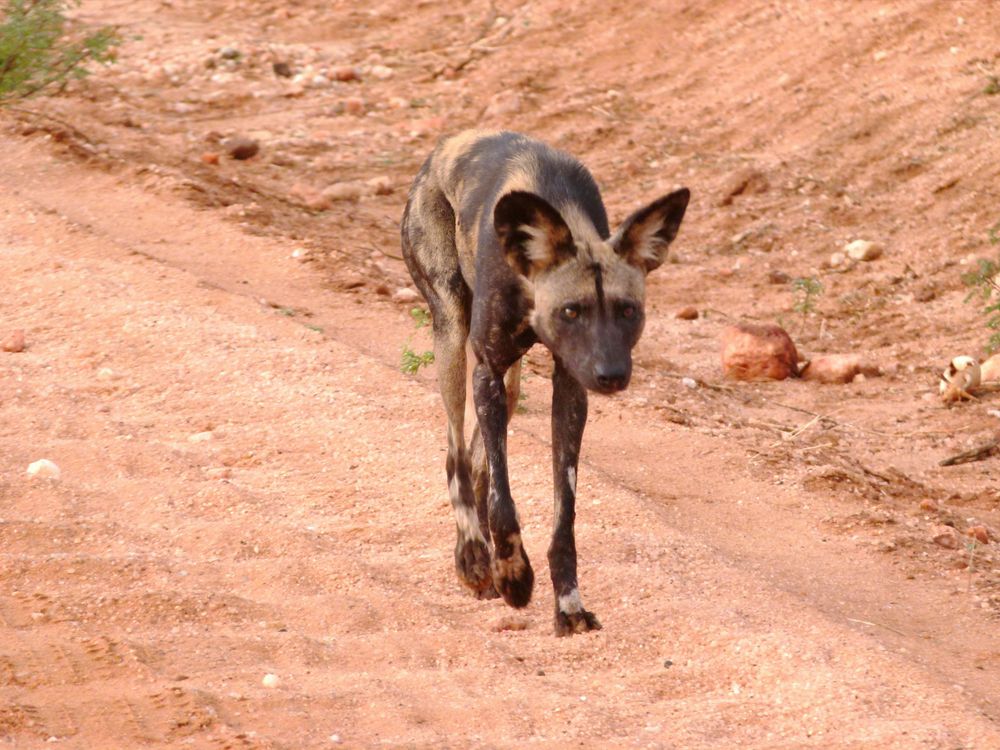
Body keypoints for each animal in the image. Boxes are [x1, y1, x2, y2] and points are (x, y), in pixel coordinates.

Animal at [400, 132, 688, 636]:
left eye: (627, 310)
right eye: (571, 311)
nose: (611, 374)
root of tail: (443, 148)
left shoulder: (569, 386)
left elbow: (564, 515)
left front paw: (568, 604)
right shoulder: (487, 369)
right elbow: (503, 501)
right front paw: (515, 576)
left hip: (510, 384)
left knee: (477, 457)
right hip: (453, 335)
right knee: (457, 454)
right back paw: (474, 559)